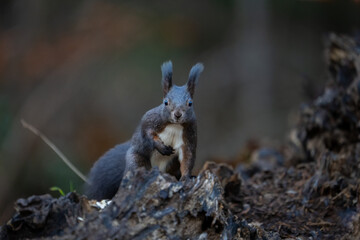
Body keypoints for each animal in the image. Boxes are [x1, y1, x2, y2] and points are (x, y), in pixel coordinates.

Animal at [83, 61, 202, 200]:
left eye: (190, 103)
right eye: (165, 102)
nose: (177, 114)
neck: (175, 125)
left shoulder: (190, 135)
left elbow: (187, 157)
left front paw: (186, 178)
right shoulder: (150, 120)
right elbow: (147, 133)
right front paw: (160, 146)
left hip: (171, 165)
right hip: (137, 160)